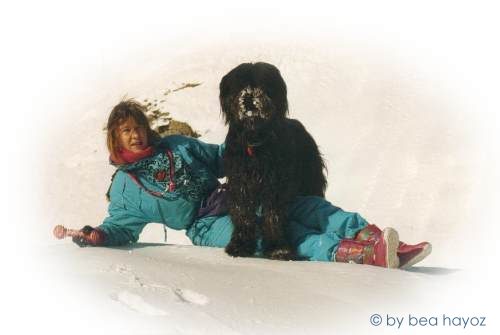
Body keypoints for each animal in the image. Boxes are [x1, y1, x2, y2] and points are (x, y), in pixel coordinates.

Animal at [220, 63, 328, 262]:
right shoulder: (241, 183)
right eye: (239, 85)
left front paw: (279, 249)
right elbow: (243, 214)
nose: (249, 97)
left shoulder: (276, 185)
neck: (255, 141)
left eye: (262, 84)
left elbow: (274, 216)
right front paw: (240, 246)